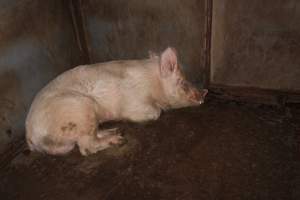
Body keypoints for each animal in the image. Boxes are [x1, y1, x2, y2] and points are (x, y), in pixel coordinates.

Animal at [25, 47, 207, 156]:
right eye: (183, 82)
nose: (204, 93)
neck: (153, 85)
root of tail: (30, 136)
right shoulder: (134, 103)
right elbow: (156, 112)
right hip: (79, 109)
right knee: (86, 147)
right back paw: (118, 139)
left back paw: (115, 131)